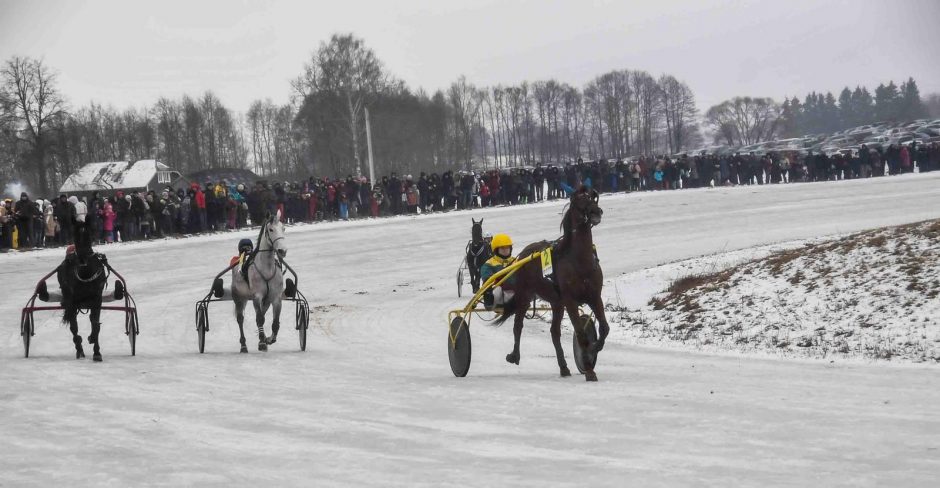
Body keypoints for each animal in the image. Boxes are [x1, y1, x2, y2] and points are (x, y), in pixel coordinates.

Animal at [56, 219, 108, 360]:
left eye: (88, 235)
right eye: (75, 235)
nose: (82, 259)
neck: (85, 273)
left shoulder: (97, 299)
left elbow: (95, 324)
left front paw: (96, 351)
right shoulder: (72, 301)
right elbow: (74, 326)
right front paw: (81, 345)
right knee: (73, 326)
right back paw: (79, 348)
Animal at [231, 212, 286, 352]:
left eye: (283, 228)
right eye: (271, 229)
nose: (282, 251)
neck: (266, 268)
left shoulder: (276, 297)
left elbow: (275, 322)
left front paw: (269, 339)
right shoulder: (257, 296)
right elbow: (259, 319)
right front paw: (261, 342)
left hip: (265, 301)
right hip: (239, 298)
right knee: (240, 319)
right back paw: (243, 345)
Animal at [492, 187, 608, 382]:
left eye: (593, 199)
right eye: (579, 201)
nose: (596, 212)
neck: (580, 261)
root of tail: (524, 253)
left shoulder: (594, 296)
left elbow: (604, 328)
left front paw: (593, 349)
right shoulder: (570, 300)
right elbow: (581, 333)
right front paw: (589, 368)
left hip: (556, 303)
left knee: (554, 332)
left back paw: (564, 367)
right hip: (525, 295)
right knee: (518, 325)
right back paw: (514, 356)